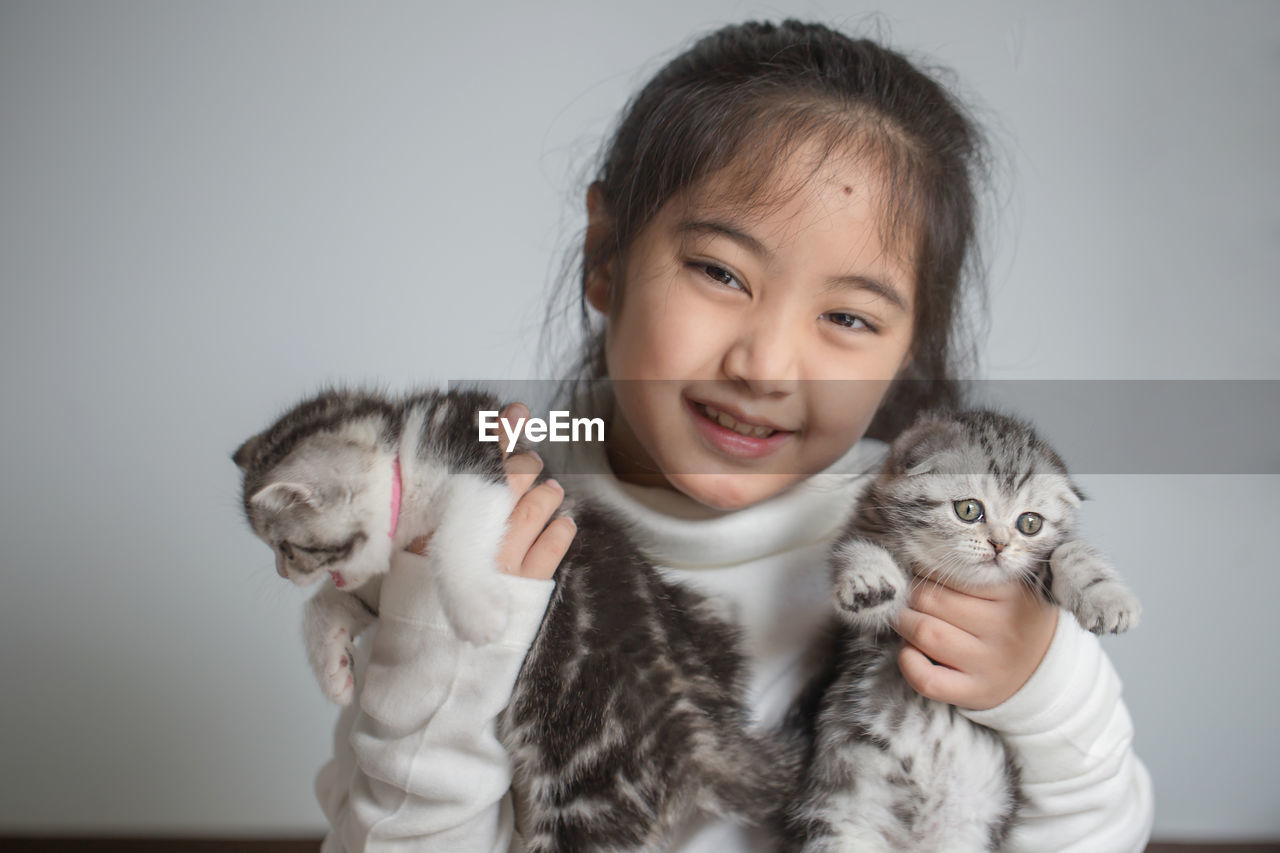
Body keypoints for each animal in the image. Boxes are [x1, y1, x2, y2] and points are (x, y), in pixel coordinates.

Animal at [231, 386, 788, 850]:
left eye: (289, 548)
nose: (282, 572)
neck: (401, 455)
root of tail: (694, 729)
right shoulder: (386, 563)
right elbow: (334, 602)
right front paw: (333, 671)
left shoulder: (481, 461)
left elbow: (457, 533)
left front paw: (476, 613)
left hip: (589, 799)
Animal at [788, 409, 1141, 845]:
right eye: (969, 510)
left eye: (1029, 523)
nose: (999, 545)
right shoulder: (865, 528)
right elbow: (856, 551)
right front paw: (868, 584)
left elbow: (1072, 551)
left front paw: (1108, 598)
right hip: (844, 822)